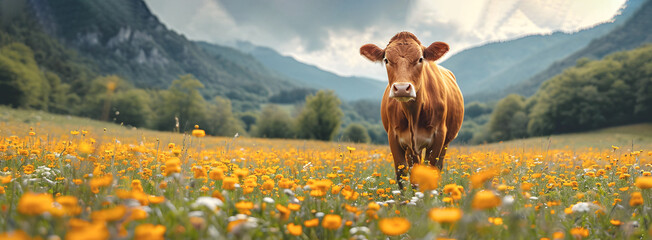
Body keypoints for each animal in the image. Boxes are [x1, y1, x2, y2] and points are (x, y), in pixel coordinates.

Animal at [356, 31, 464, 189]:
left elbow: (431, 169)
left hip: (446, 141)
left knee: (438, 166)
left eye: (420, 59)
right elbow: (402, 173)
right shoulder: (394, 137)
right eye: (386, 60)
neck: (413, 113)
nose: (401, 88)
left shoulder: (439, 135)